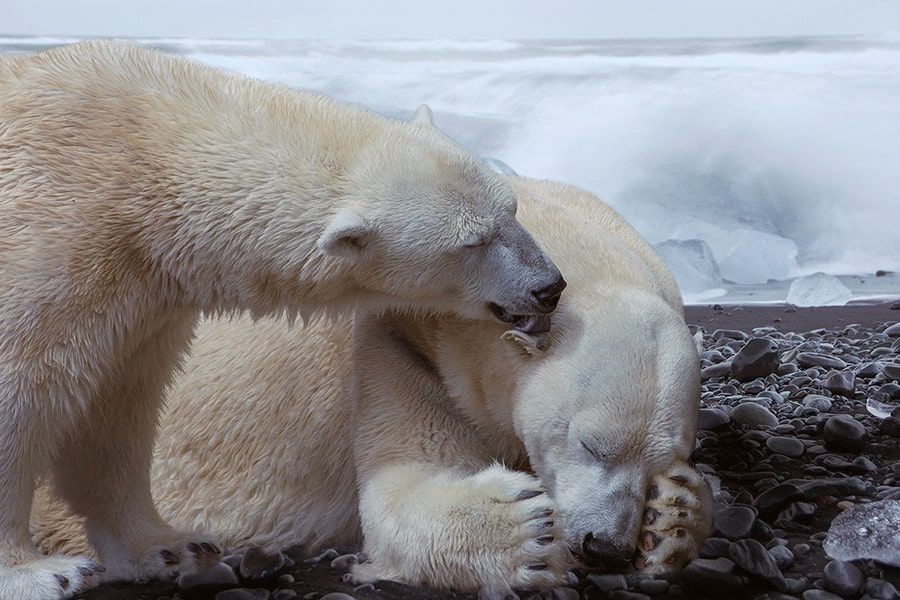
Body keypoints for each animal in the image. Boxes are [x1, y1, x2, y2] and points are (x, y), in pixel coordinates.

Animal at [0, 43, 564, 600]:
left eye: (512, 209)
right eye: (472, 242)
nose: (549, 286)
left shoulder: (143, 298)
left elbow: (116, 410)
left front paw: (167, 547)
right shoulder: (52, 245)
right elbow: (22, 394)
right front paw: (40, 573)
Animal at [33, 173, 712, 596]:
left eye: (665, 456)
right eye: (591, 444)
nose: (605, 545)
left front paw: (673, 516)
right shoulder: (398, 342)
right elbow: (401, 486)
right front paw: (526, 532)